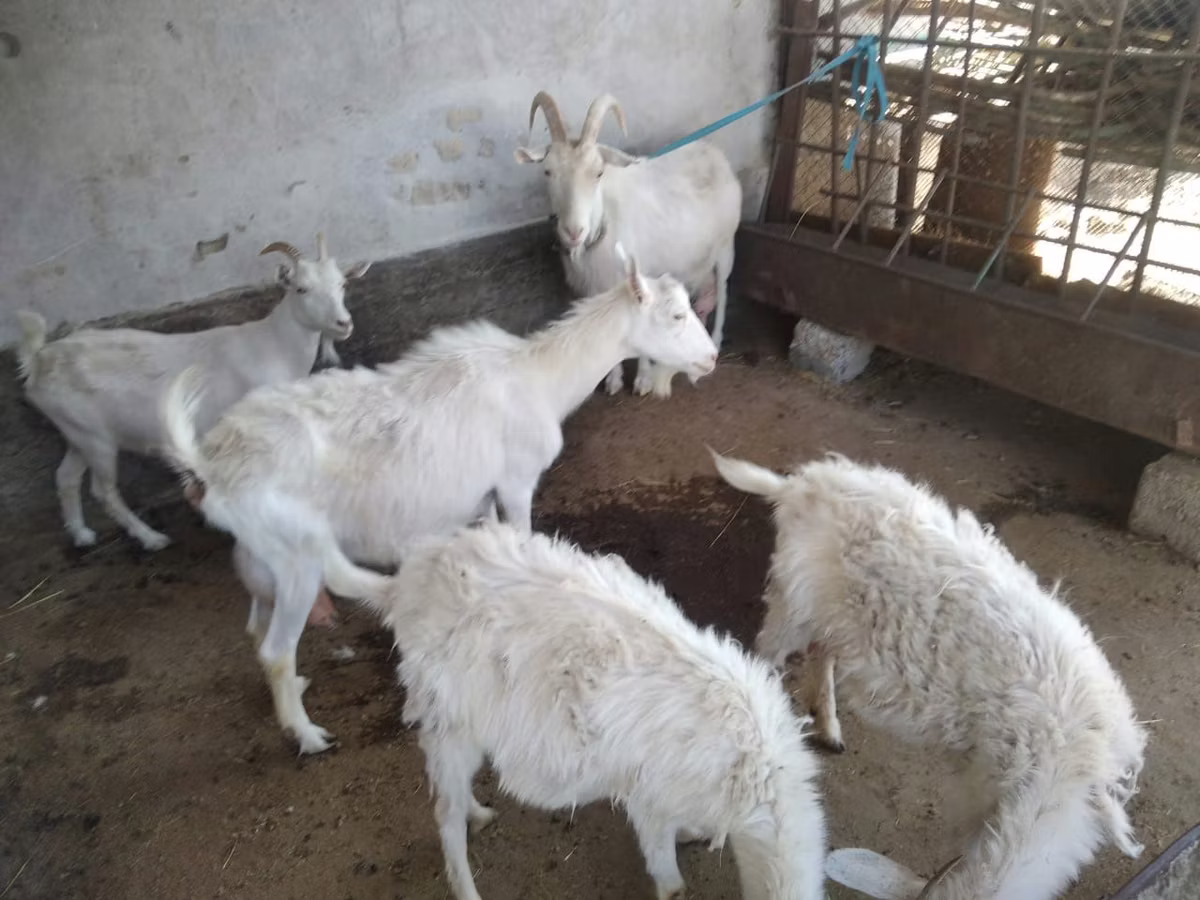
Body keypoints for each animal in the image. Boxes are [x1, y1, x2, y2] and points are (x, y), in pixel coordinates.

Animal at [15, 234, 369, 551]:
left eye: (342, 284)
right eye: (301, 288)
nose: (344, 324)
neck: (275, 346)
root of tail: (39, 360)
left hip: (78, 433)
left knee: (66, 478)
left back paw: (81, 535)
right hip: (96, 440)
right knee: (104, 491)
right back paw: (151, 539)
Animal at [158, 249, 718, 754]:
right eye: (675, 315)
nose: (711, 358)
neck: (538, 378)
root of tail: (209, 463)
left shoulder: (482, 496)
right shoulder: (515, 482)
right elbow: (523, 536)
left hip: (261, 552)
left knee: (256, 630)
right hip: (294, 555)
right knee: (276, 648)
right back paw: (310, 736)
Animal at [322, 518, 826, 900]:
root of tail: (401, 589)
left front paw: (692, 833)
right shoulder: (648, 796)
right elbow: (667, 870)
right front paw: (674, 876)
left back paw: (477, 814)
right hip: (448, 722)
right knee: (444, 816)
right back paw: (466, 885)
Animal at [516, 91, 742, 399]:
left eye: (598, 173)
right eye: (548, 172)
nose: (574, 231)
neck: (605, 223)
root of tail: (716, 155)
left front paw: (643, 380)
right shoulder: (596, 286)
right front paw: (613, 380)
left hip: (725, 246)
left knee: (724, 288)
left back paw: (716, 338)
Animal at [710, 450, 1146, 900]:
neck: (1060, 782)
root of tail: (800, 485)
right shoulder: (984, 781)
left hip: (834, 615)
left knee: (823, 652)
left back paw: (829, 724)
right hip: (791, 604)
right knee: (767, 651)